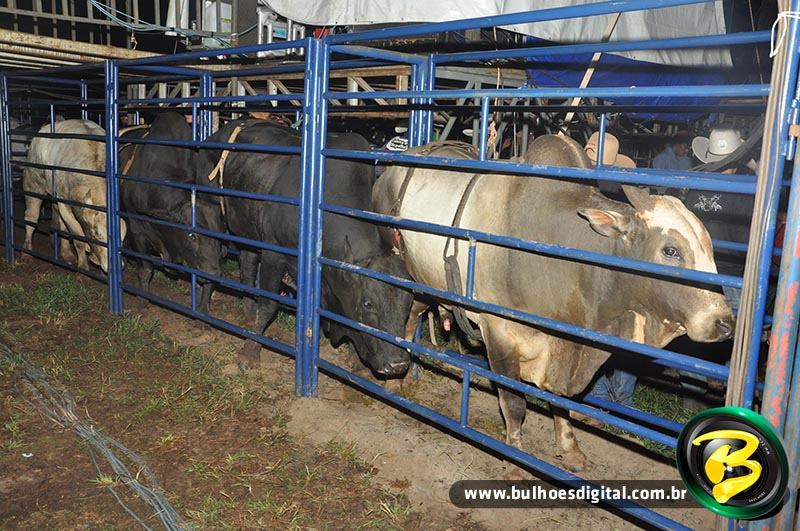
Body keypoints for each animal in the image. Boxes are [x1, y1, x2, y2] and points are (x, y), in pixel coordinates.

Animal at [22, 119, 126, 272]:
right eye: (97, 233)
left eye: (123, 237)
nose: (115, 266)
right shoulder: (64, 202)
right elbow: (78, 237)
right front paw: (83, 265)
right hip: (33, 185)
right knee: (31, 217)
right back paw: (27, 251)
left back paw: (66, 253)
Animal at [120, 112, 225, 313]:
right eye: (191, 235)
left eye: (219, 235)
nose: (214, 273)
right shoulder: (137, 231)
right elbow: (146, 269)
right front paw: (142, 298)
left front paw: (203, 307)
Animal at [196, 118, 414, 377]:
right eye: (367, 303)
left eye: (408, 304)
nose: (397, 364)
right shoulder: (274, 254)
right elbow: (268, 306)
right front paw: (249, 352)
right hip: (211, 211)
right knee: (212, 263)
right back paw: (203, 314)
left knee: (247, 266)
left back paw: (248, 315)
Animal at [371, 135, 734, 472]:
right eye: (671, 250)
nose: (724, 323)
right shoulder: (500, 332)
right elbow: (514, 403)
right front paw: (515, 457)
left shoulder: (566, 342)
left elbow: (559, 399)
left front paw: (570, 447)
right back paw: (394, 380)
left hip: (424, 284)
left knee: (414, 316)